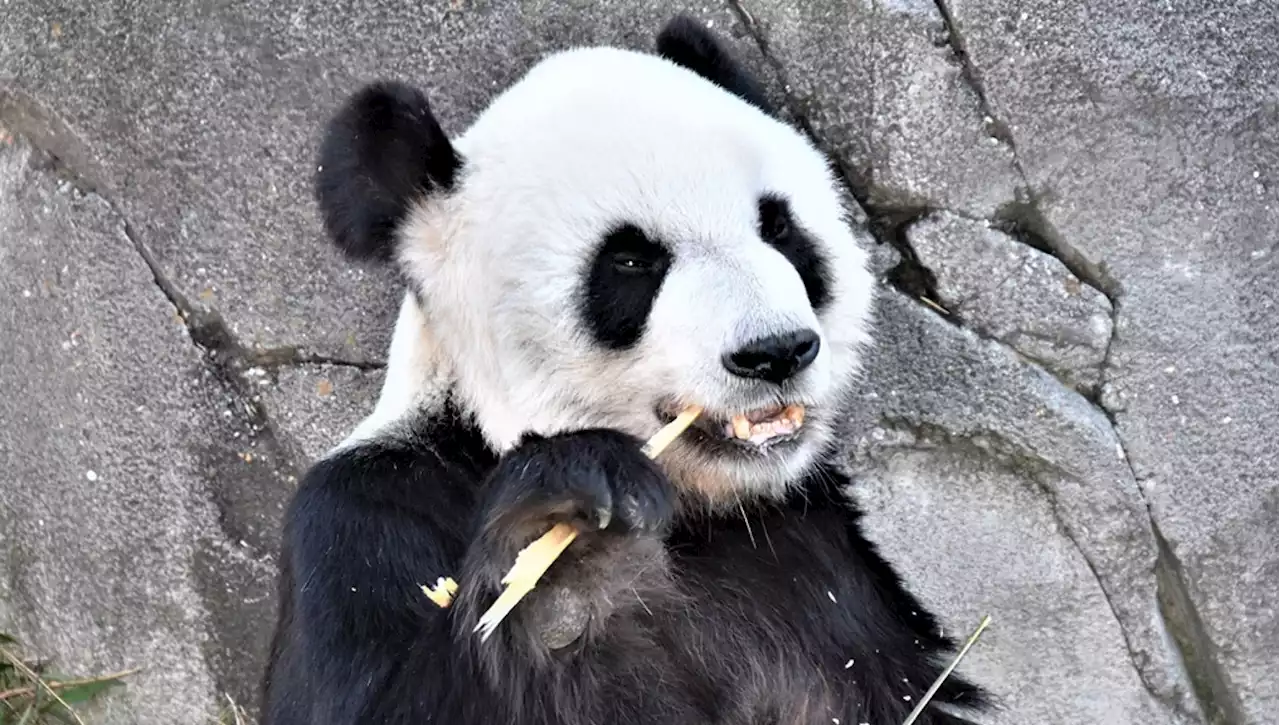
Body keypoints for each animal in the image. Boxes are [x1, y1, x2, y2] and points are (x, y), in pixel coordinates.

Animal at [262, 12, 988, 725]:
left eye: (780, 229)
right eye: (632, 261)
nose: (776, 350)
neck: (705, 509)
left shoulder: (828, 554)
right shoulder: (362, 518)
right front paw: (567, 567)